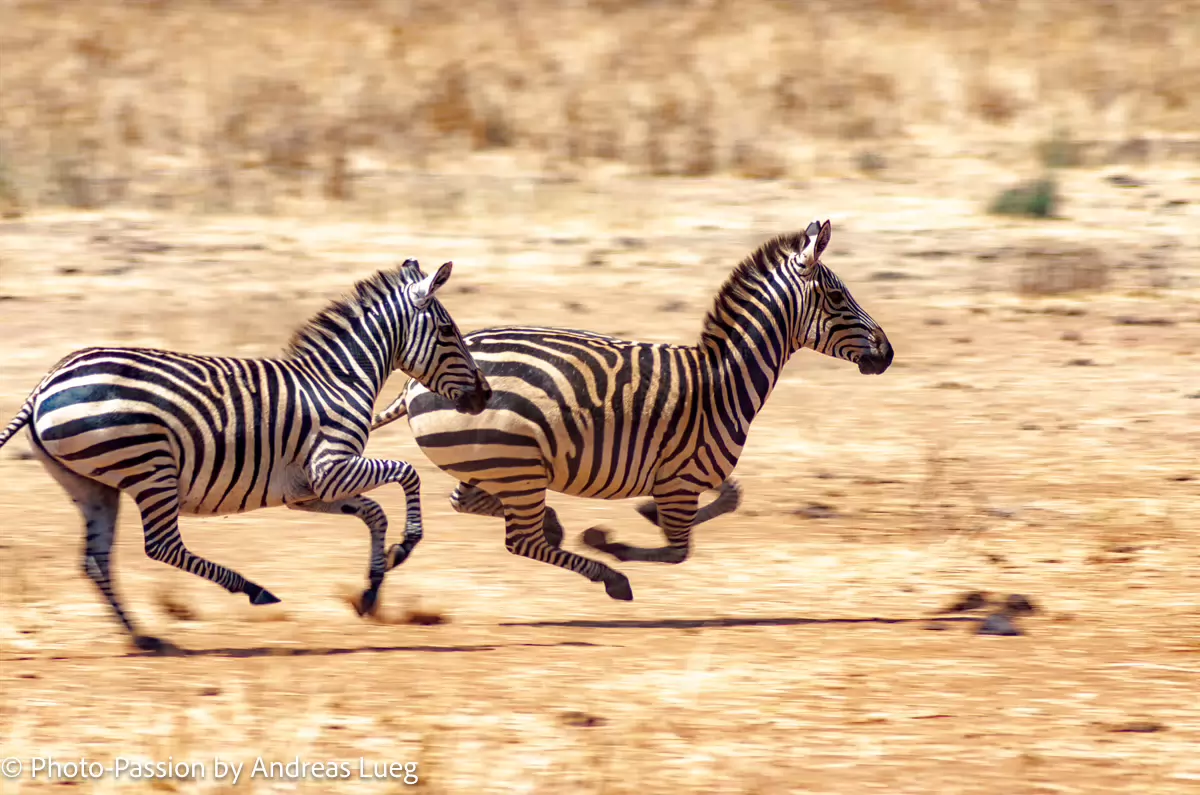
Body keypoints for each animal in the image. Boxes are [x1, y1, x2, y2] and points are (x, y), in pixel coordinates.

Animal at [0, 258, 490, 651]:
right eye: (448, 332)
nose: (484, 396)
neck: (339, 380)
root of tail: (45, 382)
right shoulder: (330, 469)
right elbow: (408, 474)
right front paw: (404, 548)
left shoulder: (307, 491)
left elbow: (374, 513)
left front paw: (371, 591)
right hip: (151, 467)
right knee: (161, 545)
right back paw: (252, 590)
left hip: (91, 485)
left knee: (96, 561)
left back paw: (141, 637)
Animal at [369, 220, 893, 601]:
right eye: (838, 298)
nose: (887, 354)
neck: (725, 380)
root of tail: (411, 383)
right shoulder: (681, 479)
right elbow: (678, 550)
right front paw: (613, 544)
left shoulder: (688, 471)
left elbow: (729, 498)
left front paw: (644, 513)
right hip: (512, 462)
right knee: (521, 539)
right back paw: (608, 576)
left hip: (494, 461)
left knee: (471, 503)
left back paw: (555, 524)